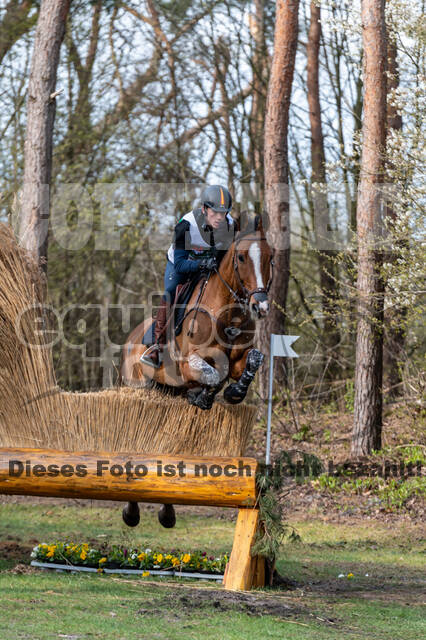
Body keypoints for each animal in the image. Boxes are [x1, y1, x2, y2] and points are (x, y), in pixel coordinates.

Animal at [118, 212, 274, 528]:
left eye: (270, 257)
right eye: (241, 257)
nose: (260, 305)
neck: (228, 313)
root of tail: (130, 338)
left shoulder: (240, 358)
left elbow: (251, 361)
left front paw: (234, 392)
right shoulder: (188, 363)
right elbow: (212, 374)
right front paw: (203, 396)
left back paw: (166, 512)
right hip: (137, 386)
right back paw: (132, 512)